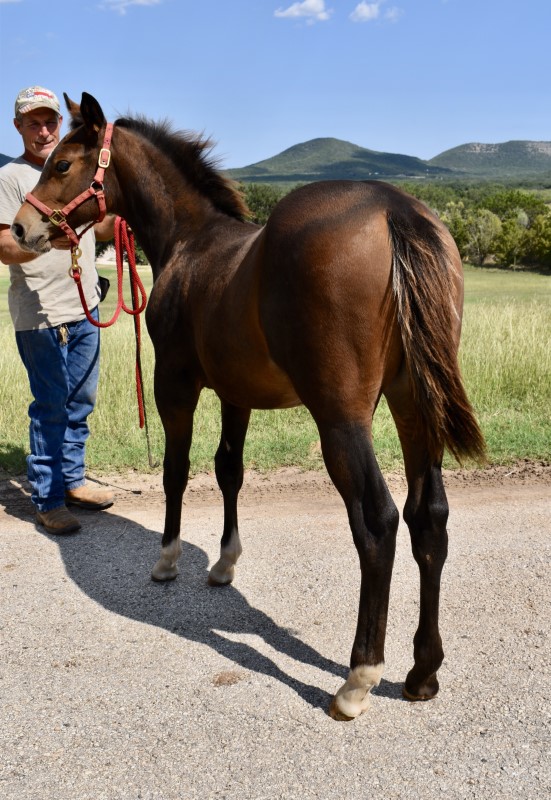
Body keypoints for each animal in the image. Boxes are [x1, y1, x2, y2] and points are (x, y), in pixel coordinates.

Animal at [10, 92, 486, 720]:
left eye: (62, 164)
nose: (20, 226)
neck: (191, 241)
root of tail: (393, 209)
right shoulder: (237, 394)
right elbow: (228, 470)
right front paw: (224, 563)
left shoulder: (174, 384)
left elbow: (177, 470)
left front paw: (167, 561)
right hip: (414, 407)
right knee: (428, 516)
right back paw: (422, 672)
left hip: (342, 417)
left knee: (378, 521)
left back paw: (358, 678)